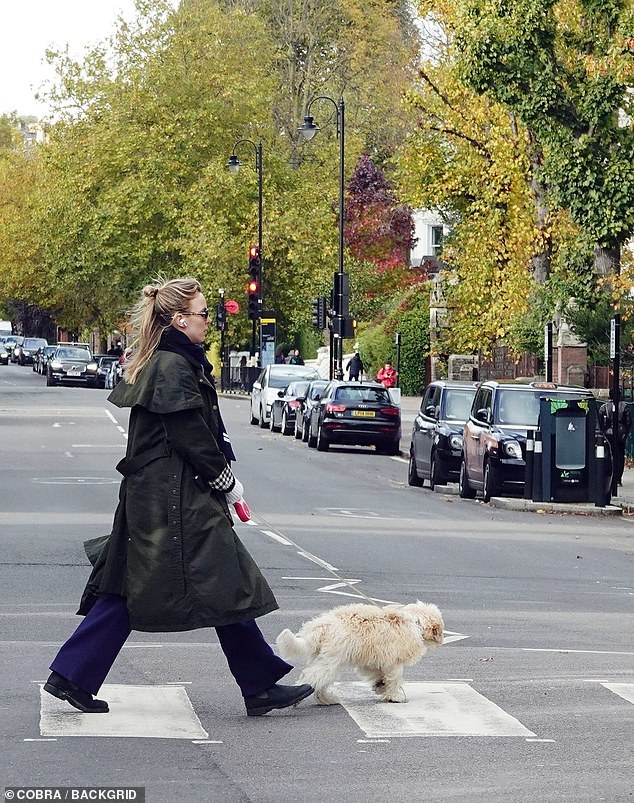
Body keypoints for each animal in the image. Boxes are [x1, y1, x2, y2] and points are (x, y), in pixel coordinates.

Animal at [274, 600, 442, 708]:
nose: (441, 640)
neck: (415, 622)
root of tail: (321, 625)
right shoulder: (394, 661)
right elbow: (395, 679)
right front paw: (394, 696)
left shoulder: (373, 659)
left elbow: (376, 672)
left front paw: (380, 686)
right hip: (331, 661)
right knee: (311, 677)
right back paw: (301, 696)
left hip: (326, 659)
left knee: (318, 681)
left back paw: (326, 699)